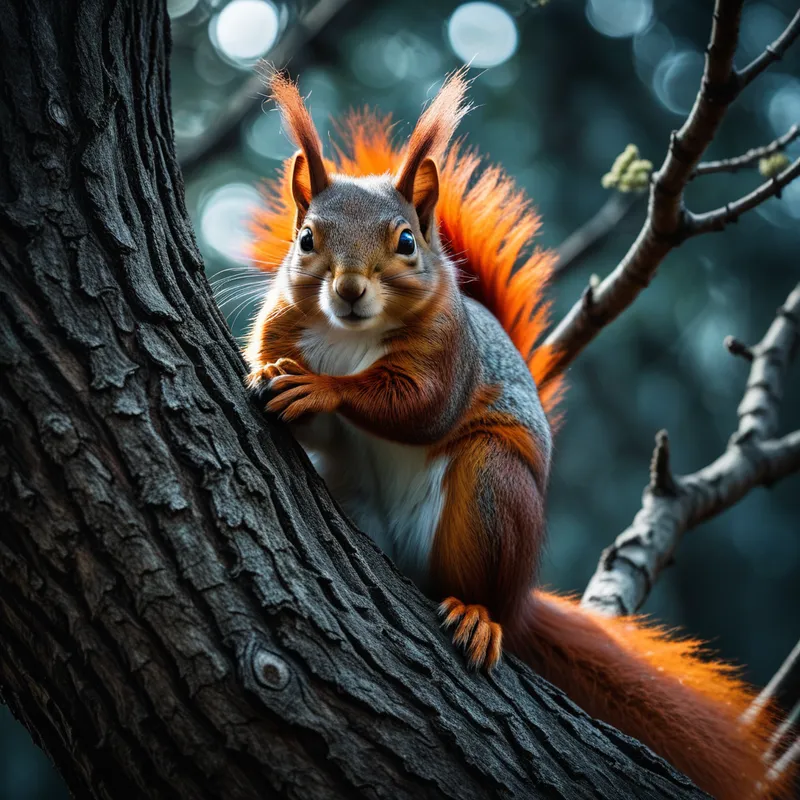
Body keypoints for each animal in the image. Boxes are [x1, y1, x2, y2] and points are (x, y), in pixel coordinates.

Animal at [244, 69, 788, 799]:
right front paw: (277, 382)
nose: (351, 290)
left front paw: (325, 388)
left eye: (407, 240)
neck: (348, 338)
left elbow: (418, 406)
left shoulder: (450, 355)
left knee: (484, 566)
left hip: (492, 489)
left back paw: (480, 616)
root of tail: (524, 598)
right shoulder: (281, 327)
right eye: (305, 239)